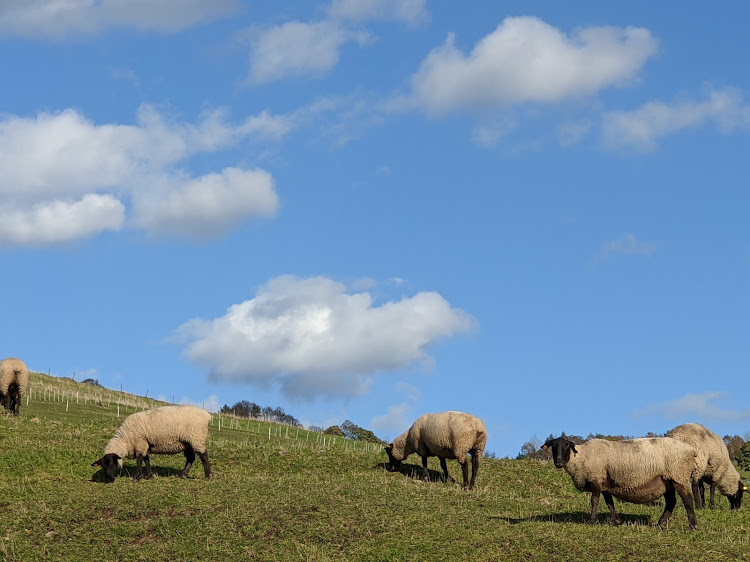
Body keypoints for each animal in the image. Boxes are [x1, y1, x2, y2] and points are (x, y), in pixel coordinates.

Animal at [544, 430, 704, 528]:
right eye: (552, 446)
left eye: (566, 445)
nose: (558, 461)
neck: (582, 457)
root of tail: (692, 450)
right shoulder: (604, 483)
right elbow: (609, 503)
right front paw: (616, 522)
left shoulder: (596, 478)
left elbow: (594, 501)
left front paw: (591, 521)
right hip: (667, 481)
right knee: (671, 503)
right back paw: (660, 525)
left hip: (679, 476)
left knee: (687, 500)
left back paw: (692, 526)